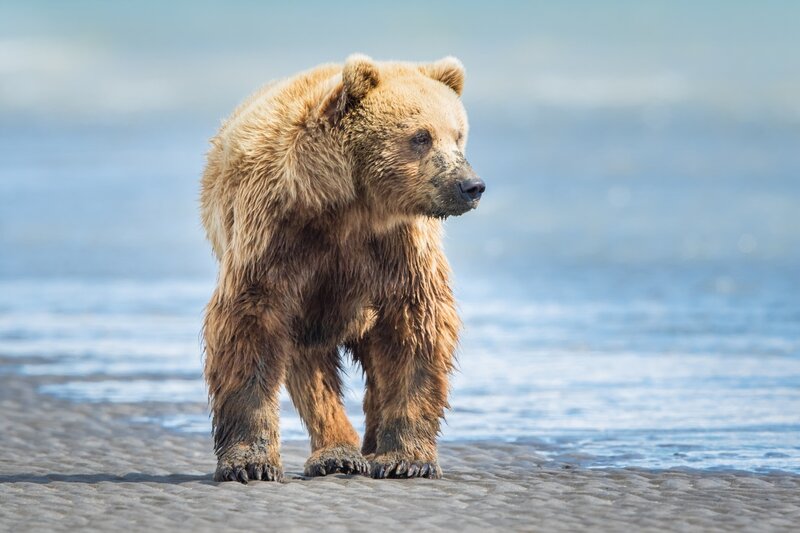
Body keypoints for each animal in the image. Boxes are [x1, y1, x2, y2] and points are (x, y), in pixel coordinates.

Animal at [200, 53, 485, 483]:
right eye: (421, 136)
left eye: (459, 134)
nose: (471, 185)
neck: (350, 203)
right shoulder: (278, 234)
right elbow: (249, 324)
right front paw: (250, 463)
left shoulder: (400, 246)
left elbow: (418, 326)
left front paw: (406, 458)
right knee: (309, 370)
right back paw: (337, 453)